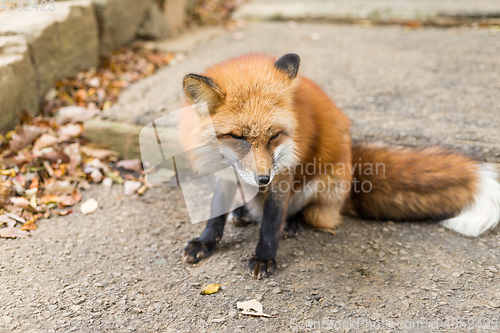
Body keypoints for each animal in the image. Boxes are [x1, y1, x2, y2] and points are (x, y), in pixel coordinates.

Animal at [179, 53, 500, 276]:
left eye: (275, 136)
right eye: (237, 137)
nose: (262, 180)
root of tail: (352, 160)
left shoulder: (283, 170)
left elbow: (271, 219)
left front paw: (265, 256)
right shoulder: (226, 170)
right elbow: (215, 212)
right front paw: (205, 242)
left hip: (324, 184)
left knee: (313, 215)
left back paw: (292, 224)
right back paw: (244, 212)